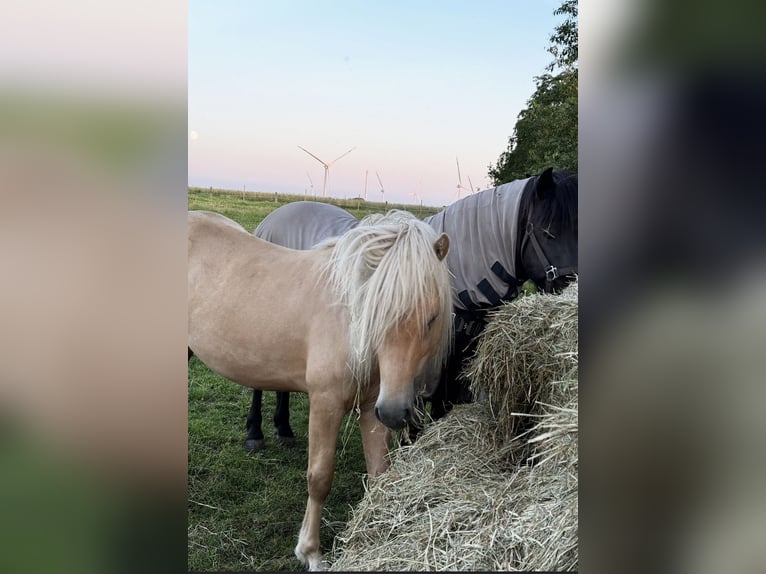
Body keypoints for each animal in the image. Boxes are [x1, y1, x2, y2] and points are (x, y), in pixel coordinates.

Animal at [187, 209, 452, 570]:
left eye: (433, 317)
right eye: (373, 312)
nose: (396, 412)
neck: (346, 325)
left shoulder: (371, 406)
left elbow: (378, 473)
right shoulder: (326, 403)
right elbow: (320, 477)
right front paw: (310, 552)